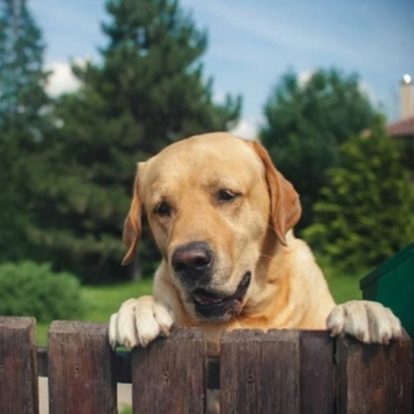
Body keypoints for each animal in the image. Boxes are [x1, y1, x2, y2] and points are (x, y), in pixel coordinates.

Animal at [109, 132, 401, 356]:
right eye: (161, 208)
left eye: (226, 195)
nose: (189, 261)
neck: (252, 314)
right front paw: (139, 307)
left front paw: (363, 309)